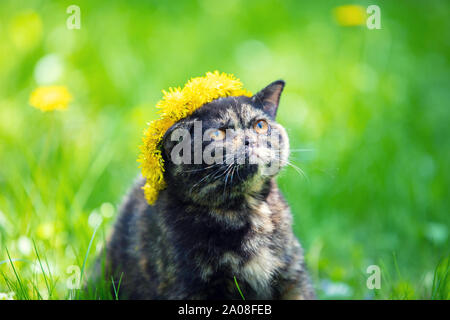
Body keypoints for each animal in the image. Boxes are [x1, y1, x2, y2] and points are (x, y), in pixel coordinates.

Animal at [90, 80, 316, 300]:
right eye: (217, 134)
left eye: (260, 125)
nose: (249, 140)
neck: (243, 209)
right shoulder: (191, 288)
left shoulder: (292, 277)